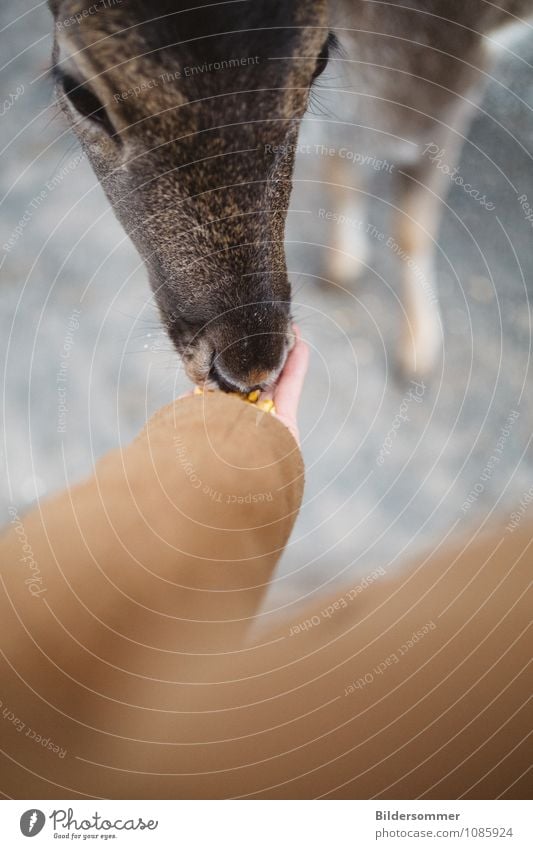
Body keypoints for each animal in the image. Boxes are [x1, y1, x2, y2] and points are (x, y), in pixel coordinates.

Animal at [47, 0, 528, 390]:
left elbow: (410, 221)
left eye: (320, 59)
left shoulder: (449, 84)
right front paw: (342, 268)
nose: (249, 369)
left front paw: (417, 355)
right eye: (79, 93)